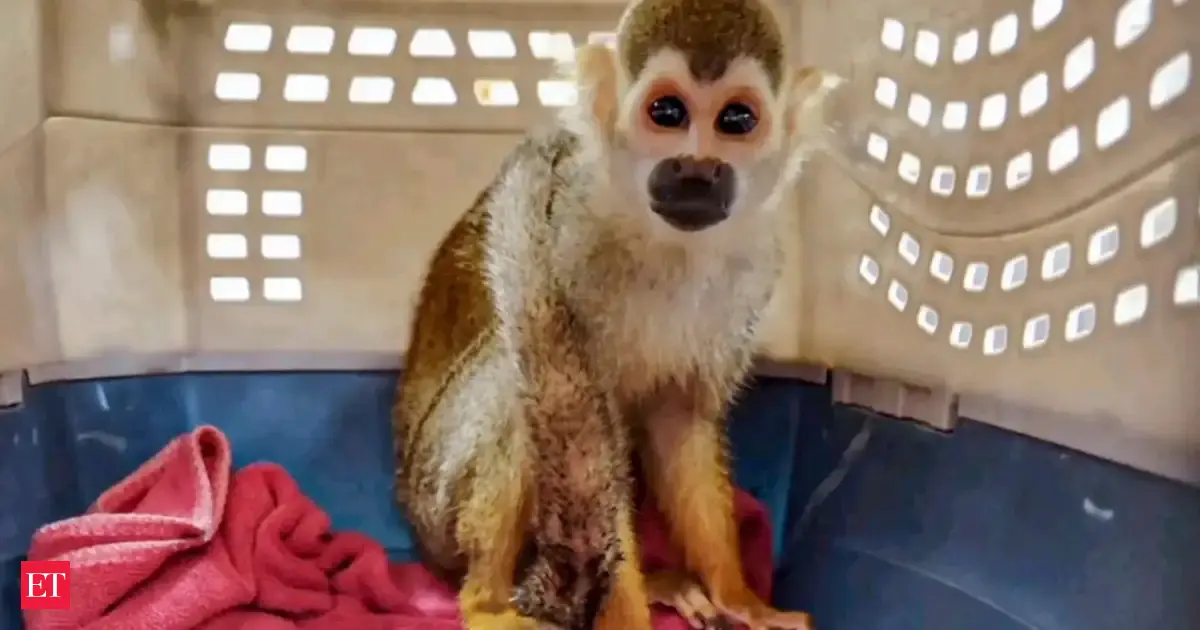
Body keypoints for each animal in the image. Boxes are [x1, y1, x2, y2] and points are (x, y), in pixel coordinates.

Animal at [392, 0, 843, 628]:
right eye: (667, 112)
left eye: (736, 120)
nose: (697, 168)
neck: (664, 241)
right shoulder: (566, 236)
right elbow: (591, 432)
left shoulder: (756, 264)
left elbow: (679, 420)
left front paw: (741, 598)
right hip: (436, 494)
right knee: (520, 377)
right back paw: (486, 601)